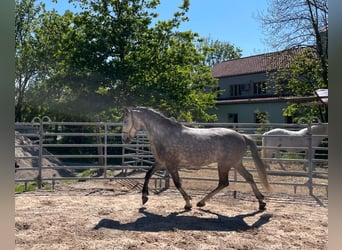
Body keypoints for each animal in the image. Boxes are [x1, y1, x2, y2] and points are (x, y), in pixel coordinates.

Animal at [121, 107, 272, 211]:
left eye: (125, 120)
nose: (124, 139)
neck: (163, 134)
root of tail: (242, 137)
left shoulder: (171, 165)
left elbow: (177, 183)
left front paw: (188, 203)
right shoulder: (161, 163)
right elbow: (147, 175)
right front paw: (144, 198)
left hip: (225, 165)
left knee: (224, 183)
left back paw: (201, 202)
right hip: (236, 163)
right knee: (249, 177)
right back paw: (261, 202)